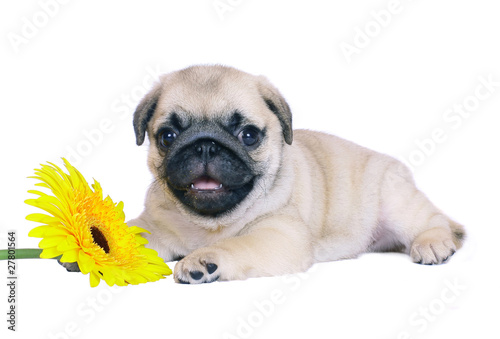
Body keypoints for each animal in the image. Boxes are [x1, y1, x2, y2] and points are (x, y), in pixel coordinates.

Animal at [128, 63, 464, 284]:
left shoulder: (278, 234)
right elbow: (131, 234)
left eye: (248, 135)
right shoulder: (152, 225)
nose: (206, 146)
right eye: (167, 137)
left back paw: (433, 244)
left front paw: (204, 259)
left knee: (434, 222)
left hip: (396, 201)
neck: (208, 224)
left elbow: (235, 244)